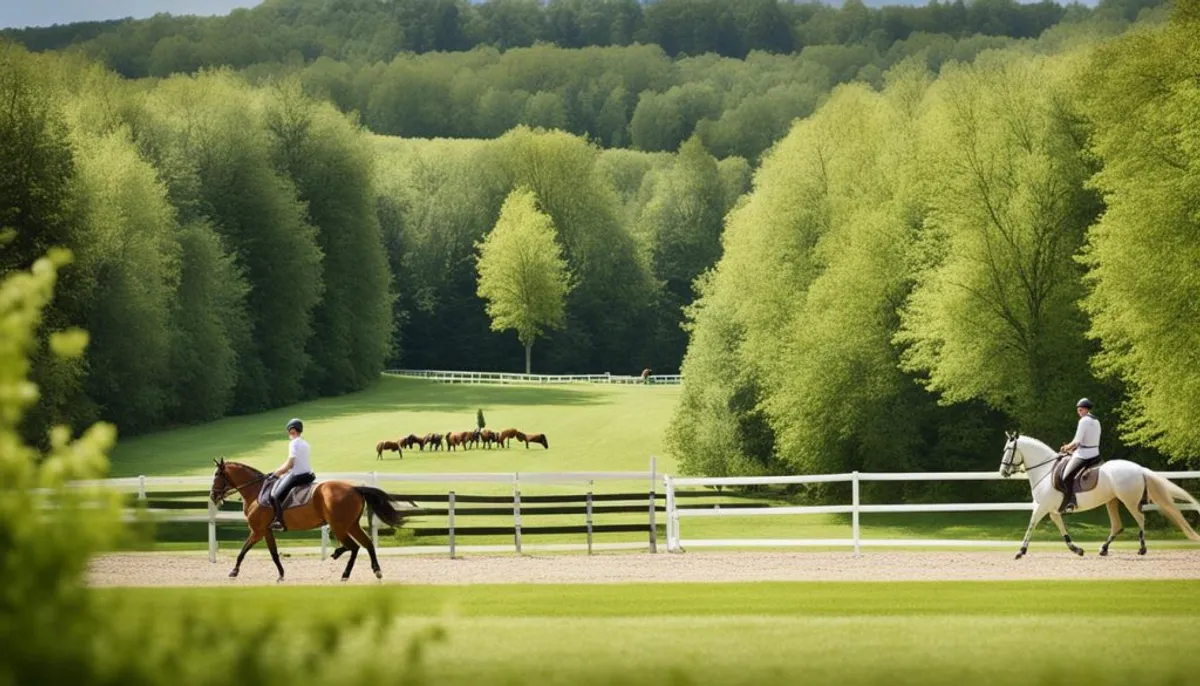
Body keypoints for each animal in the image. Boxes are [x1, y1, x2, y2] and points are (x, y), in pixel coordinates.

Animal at [208, 458, 410, 580]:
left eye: (217, 475)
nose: (212, 496)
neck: (256, 491)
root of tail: (354, 488)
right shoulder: (266, 531)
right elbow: (274, 553)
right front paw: (281, 574)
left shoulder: (257, 531)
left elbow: (243, 550)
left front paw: (234, 571)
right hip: (351, 525)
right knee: (366, 544)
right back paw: (374, 570)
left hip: (339, 526)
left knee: (353, 546)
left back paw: (342, 566)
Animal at [993, 431, 1200, 558]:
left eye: (1008, 450)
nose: (1003, 472)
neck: (1045, 470)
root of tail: (1139, 469)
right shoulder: (1051, 510)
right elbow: (1062, 529)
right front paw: (1076, 549)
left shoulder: (1042, 507)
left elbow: (1031, 524)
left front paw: (1021, 551)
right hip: (1112, 501)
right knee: (1117, 526)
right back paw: (1103, 549)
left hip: (1129, 501)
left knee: (1140, 519)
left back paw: (1142, 549)